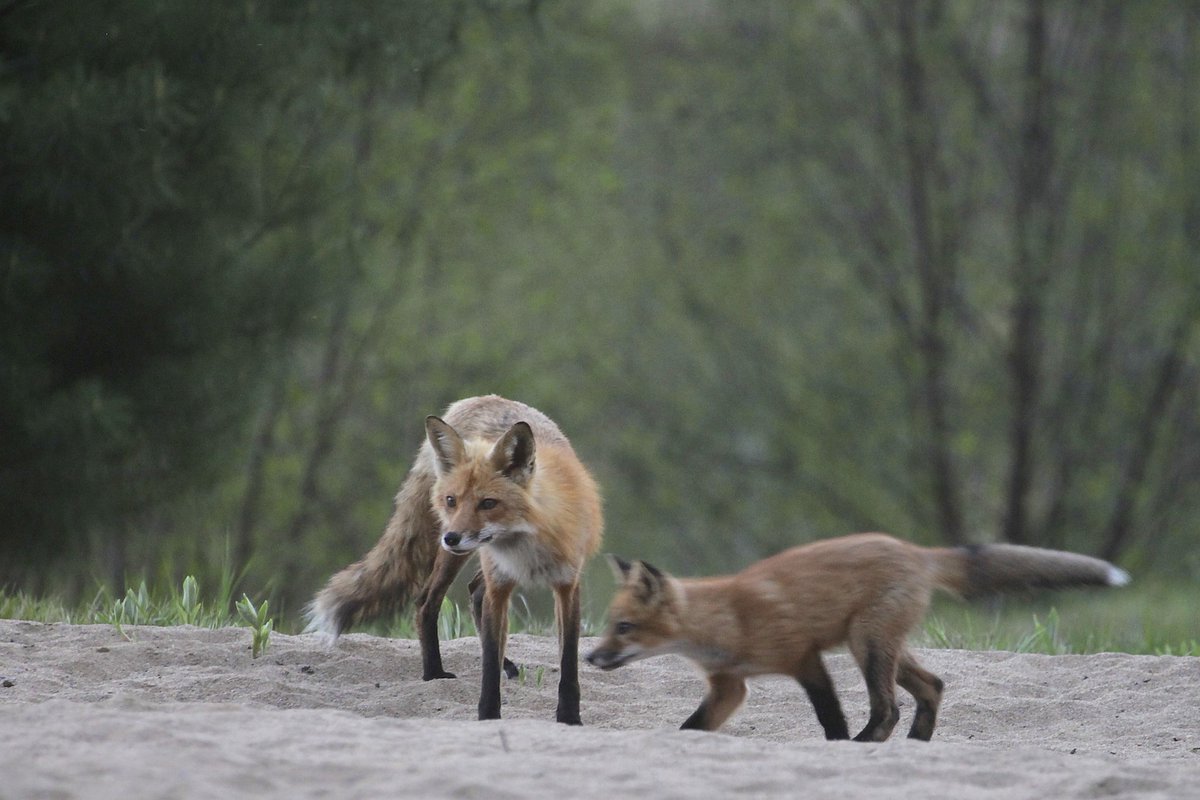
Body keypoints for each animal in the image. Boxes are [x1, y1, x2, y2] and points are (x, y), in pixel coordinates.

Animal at [309, 395, 604, 724]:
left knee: (474, 592)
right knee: (427, 602)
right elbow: (488, 666)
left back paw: (502, 663)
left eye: (488, 503)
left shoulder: (566, 585)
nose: (450, 537)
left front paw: (569, 717)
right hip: (456, 558)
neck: (525, 544)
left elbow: (568, 662)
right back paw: (434, 673)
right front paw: (488, 715)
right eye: (452, 500)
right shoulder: (499, 584)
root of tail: (480, 399)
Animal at [585, 534, 1128, 743]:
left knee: (887, 708)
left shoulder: (804, 658)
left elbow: (831, 717)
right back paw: (914, 746)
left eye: (624, 627)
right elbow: (691, 728)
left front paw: (838, 745)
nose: (590, 656)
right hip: (881, 645)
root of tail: (915, 549)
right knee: (933, 686)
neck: (726, 620)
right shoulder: (729, 686)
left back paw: (868, 744)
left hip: (865, 644)